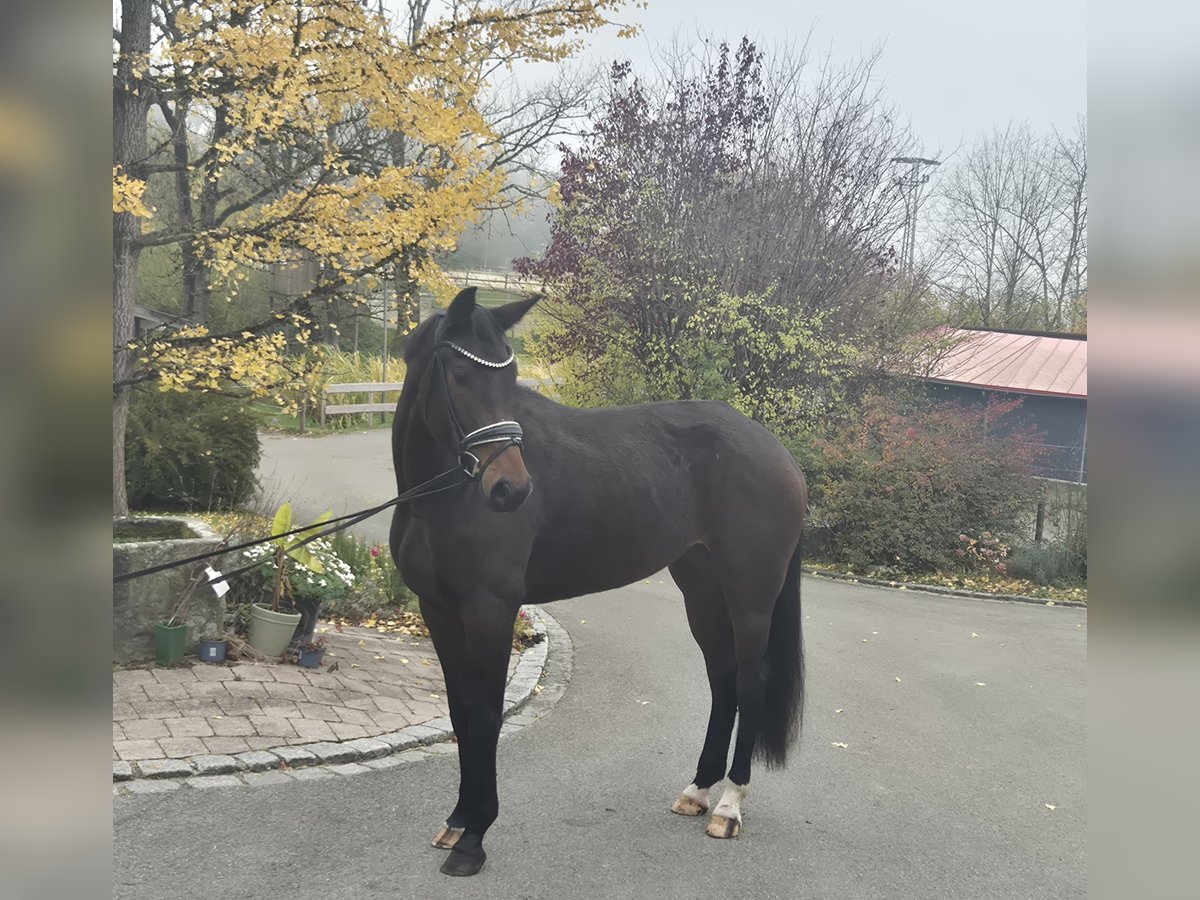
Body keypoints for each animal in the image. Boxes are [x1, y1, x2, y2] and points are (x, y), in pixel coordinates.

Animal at [389, 287, 808, 877]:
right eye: (460, 375)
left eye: (509, 376)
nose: (511, 490)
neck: (441, 500)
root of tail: (778, 452)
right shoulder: (438, 610)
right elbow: (460, 711)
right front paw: (456, 821)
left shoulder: (490, 610)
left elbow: (487, 715)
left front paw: (474, 837)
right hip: (701, 590)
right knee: (723, 680)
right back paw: (698, 790)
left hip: (751, 595)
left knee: (751, 684)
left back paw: (728, 805)